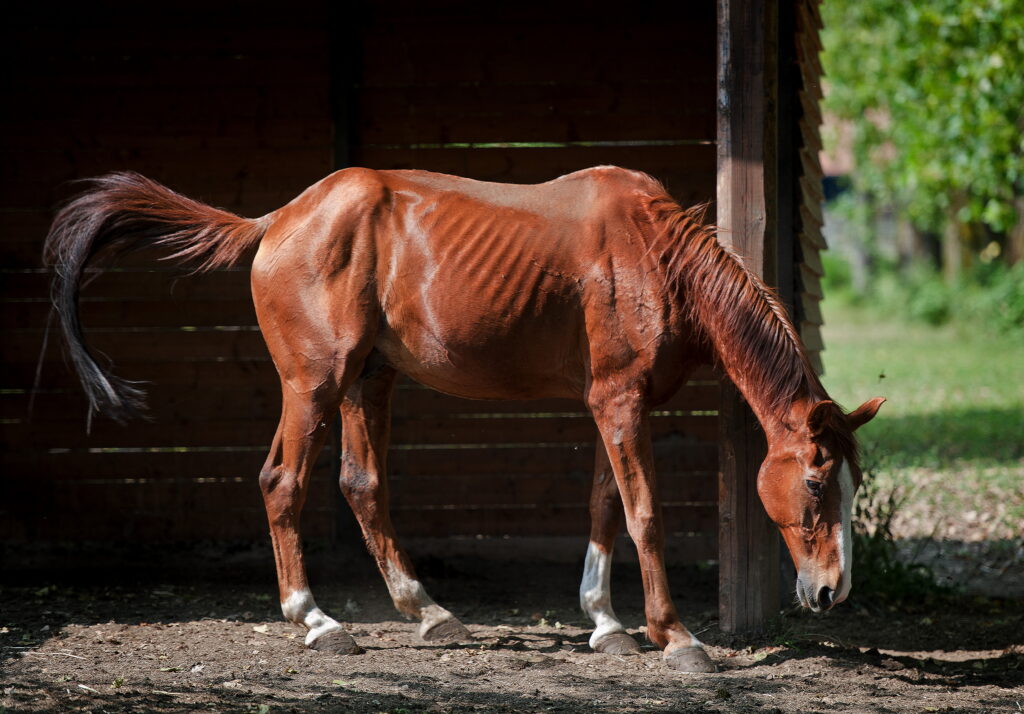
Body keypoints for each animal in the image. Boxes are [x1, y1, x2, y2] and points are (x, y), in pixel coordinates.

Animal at [45, 166, 884, 673]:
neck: (654, 258)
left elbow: (603, 508)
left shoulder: (609, 404)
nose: (831, 592)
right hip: (313, 385)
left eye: (850, 481)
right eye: (816, 484)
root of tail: (278, 219)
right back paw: (314, 620)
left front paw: (605, 623)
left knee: (362, 486)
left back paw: (428, 611)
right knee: (282, 481)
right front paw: (675, 636)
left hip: (368, 383)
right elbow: (644, 513)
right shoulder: (620, 402)